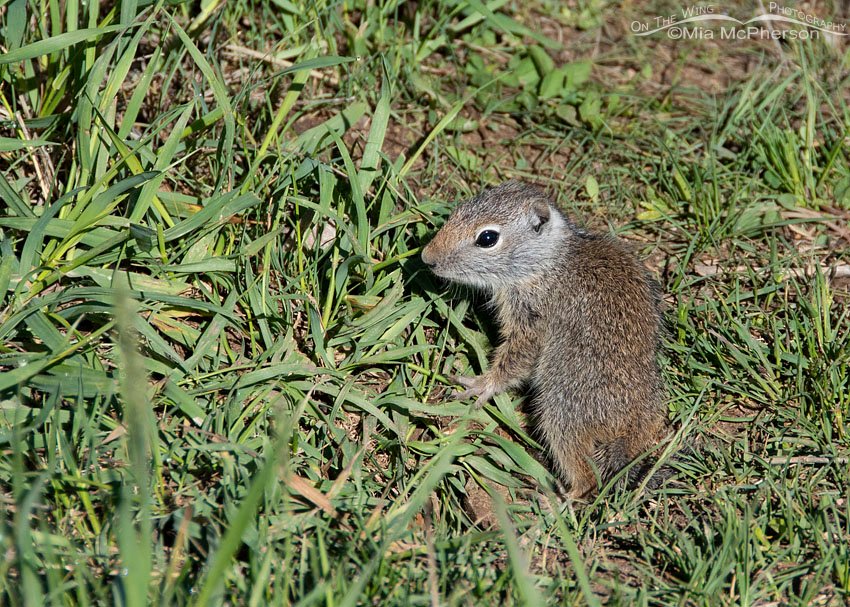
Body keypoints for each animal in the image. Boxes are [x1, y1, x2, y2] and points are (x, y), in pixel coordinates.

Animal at [421, 180, 666, 499]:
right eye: (457, 211)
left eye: (487, 238)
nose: (427, 258)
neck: (549, 260)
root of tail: (634, 426)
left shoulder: (530, 322)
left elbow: (514, 362)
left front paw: (481, 385)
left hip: (560, 413)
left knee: (586, 477)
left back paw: (555, 498)